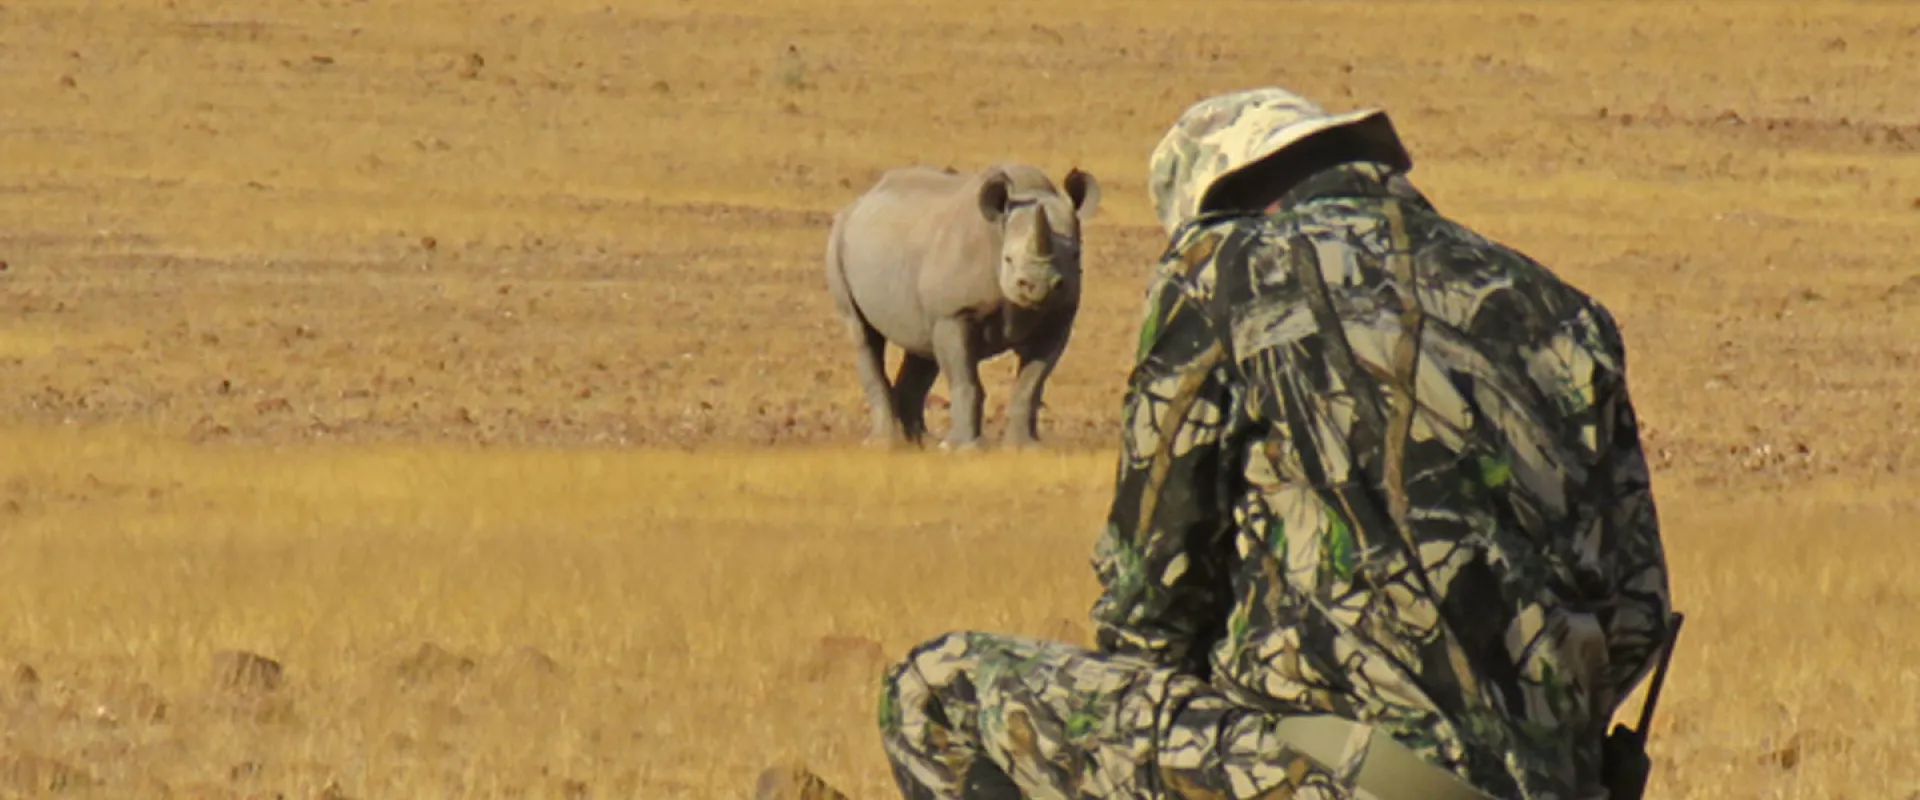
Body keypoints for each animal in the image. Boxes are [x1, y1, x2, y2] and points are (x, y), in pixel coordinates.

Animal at [825, 163, 1100, 451]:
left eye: (1076, 256)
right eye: (1008, 259)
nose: (1040, 286)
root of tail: (859, 202)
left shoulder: (1059, 316)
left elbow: (1031, 383)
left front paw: (1025, 448)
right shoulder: (954, 314)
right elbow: (965, 380)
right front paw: (964, 449)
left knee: (922, 347)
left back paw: (920, 443)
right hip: (838, 240)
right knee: (863, 334)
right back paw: (886, 444)